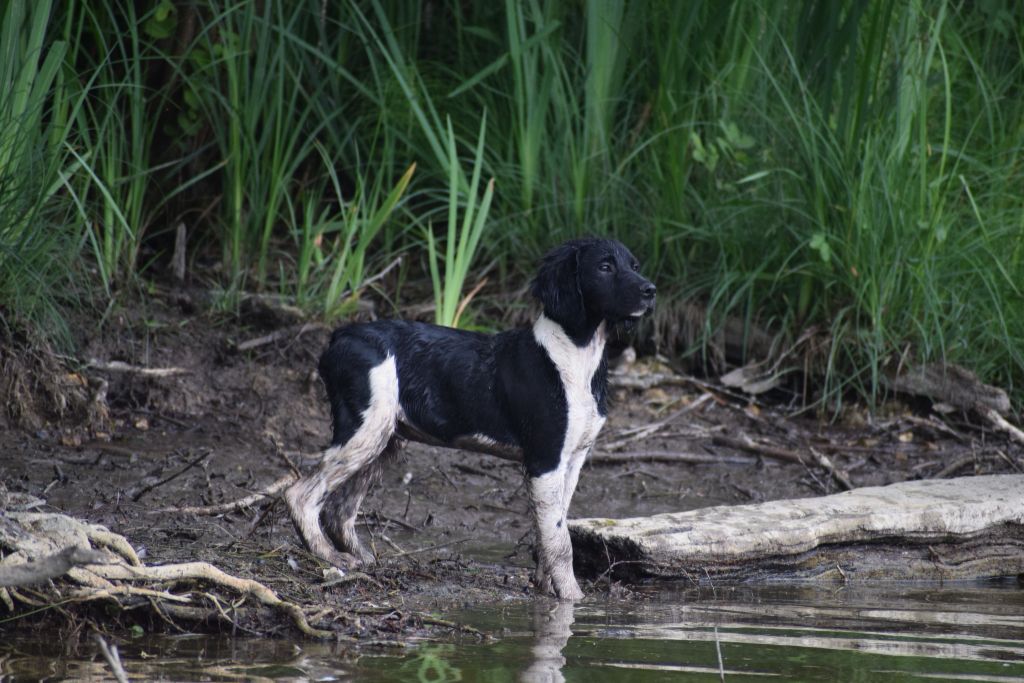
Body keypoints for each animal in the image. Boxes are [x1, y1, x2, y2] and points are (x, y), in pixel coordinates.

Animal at [286, 237, 655, 602]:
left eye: (635, 266)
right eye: (604, 267)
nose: (651, 290)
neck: (573, 357)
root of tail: (340, 337)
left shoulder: (574, 459)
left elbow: (549, 530)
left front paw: (545, 586)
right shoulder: (545, 459)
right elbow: (560, 541)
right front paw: (572, 600)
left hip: (385, 438)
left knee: (340, 510)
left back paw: (362, 558)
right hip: (364, 430)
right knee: (300, 494)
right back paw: (328, 556)